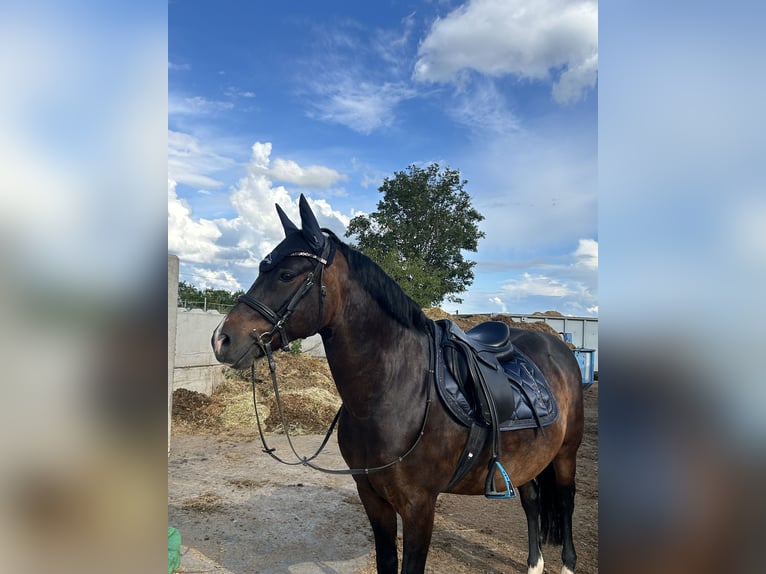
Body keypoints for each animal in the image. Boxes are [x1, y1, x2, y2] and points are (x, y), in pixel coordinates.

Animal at [213, 196, 584, 572]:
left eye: (286, 275)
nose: (222, 339)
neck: (392, 394)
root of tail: (557, 345)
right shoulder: (372, 497)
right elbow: (387, 561)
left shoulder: (419, 506)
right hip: (527, 459)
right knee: (532, 499)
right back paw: (534, 563)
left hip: (566, 453)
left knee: (565, 501)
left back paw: (567, 563)